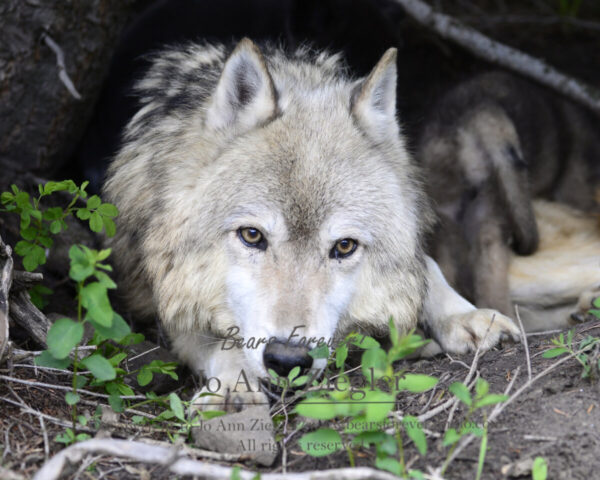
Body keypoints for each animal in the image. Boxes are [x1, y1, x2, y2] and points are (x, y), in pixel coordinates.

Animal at [105, 39, 516, 410]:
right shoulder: (168, 296)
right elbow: (218, 341)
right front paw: (233, 386)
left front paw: (465, 314)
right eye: (252, 235)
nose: (288, 360)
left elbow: (425, 265)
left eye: (344, 246)